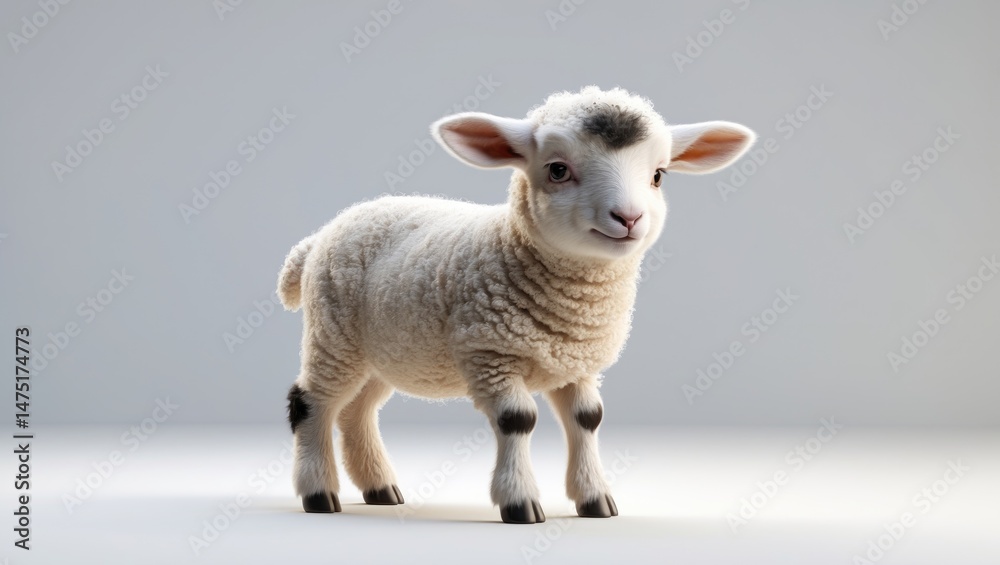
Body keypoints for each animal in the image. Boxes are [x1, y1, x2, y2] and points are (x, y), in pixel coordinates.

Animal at [278, 86, 755, 523]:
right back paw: (318, 494)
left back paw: (379, 487)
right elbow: (517, 420)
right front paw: (519, 501)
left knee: (355, 411)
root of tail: (319, 237)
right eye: (558, 170)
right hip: (333, 333)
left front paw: (595, 499)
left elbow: (588, 419)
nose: (629, 218)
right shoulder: (491, 354)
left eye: (658, 175)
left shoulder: (576, 363)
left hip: (384, 352)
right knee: (313, 403)